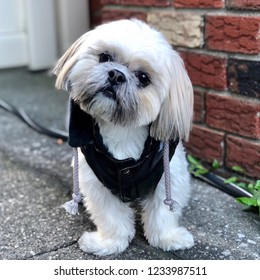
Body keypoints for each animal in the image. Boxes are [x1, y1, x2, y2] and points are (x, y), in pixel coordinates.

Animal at [53, 19, 194, 256]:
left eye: (143, 78)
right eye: (104, 57)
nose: (116, 75)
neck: (123, 131)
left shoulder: (169, 176)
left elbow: (163, 213)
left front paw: (167, 238)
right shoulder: (96, 182)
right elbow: (111, 218)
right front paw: (109, 244)